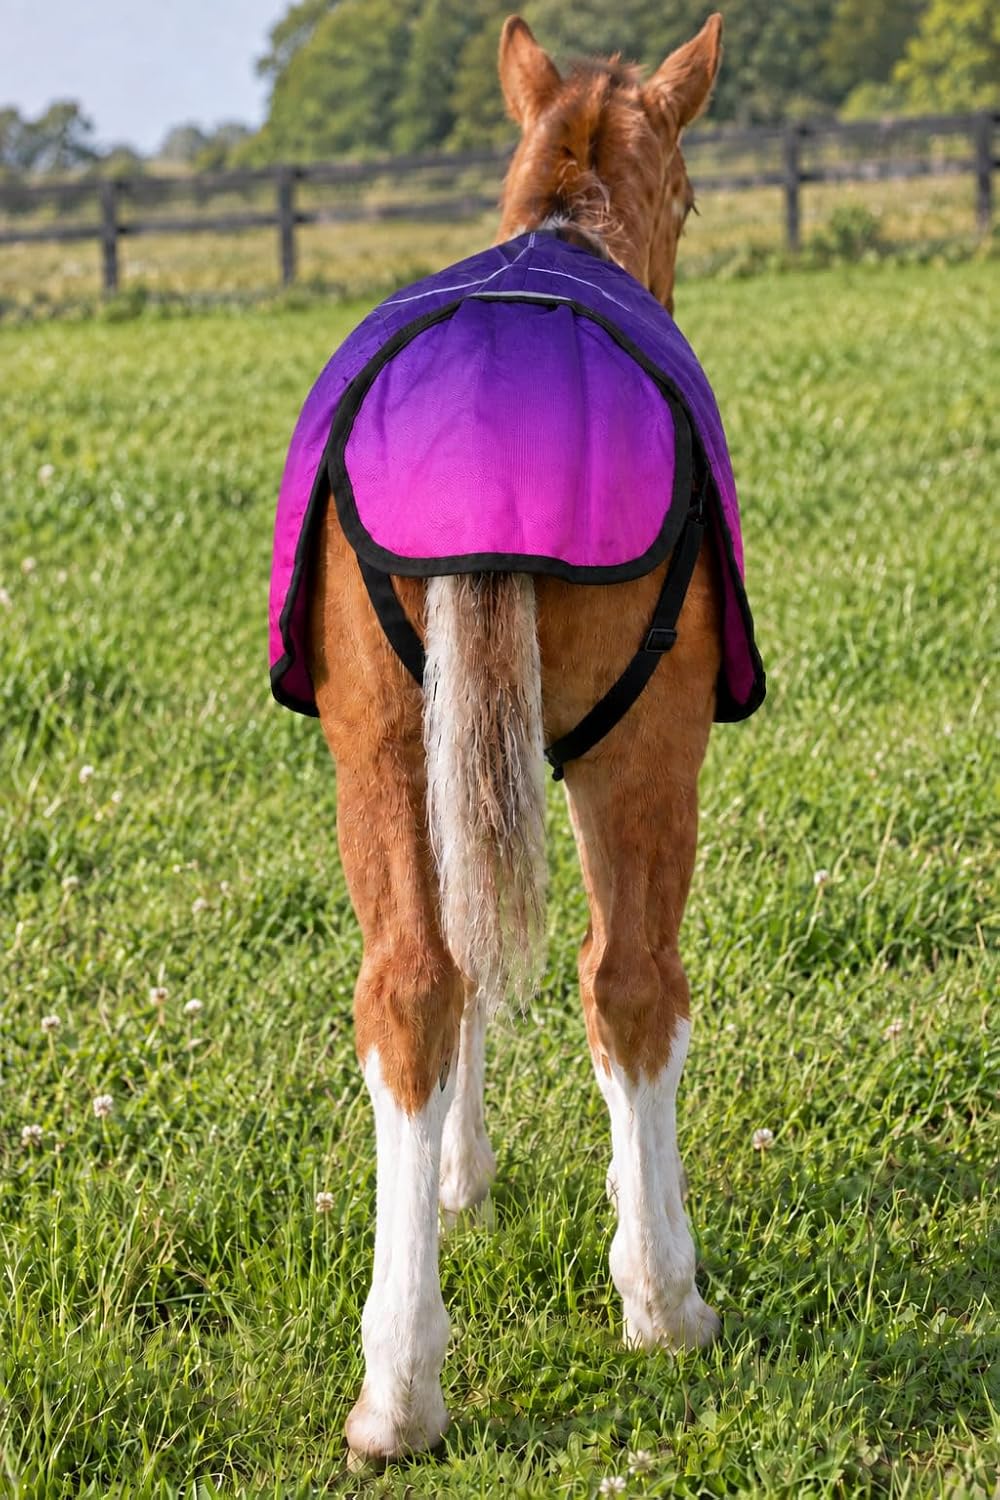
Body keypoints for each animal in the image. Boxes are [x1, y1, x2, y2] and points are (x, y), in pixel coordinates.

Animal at [296, 11, 745, 1464]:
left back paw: (397, 1385)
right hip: (646, 749)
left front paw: (455, 1177)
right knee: (633, 985)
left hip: (384, 745)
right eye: (693, 193)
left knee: (411, 987)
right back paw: (665, 1301)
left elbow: (465, 968)